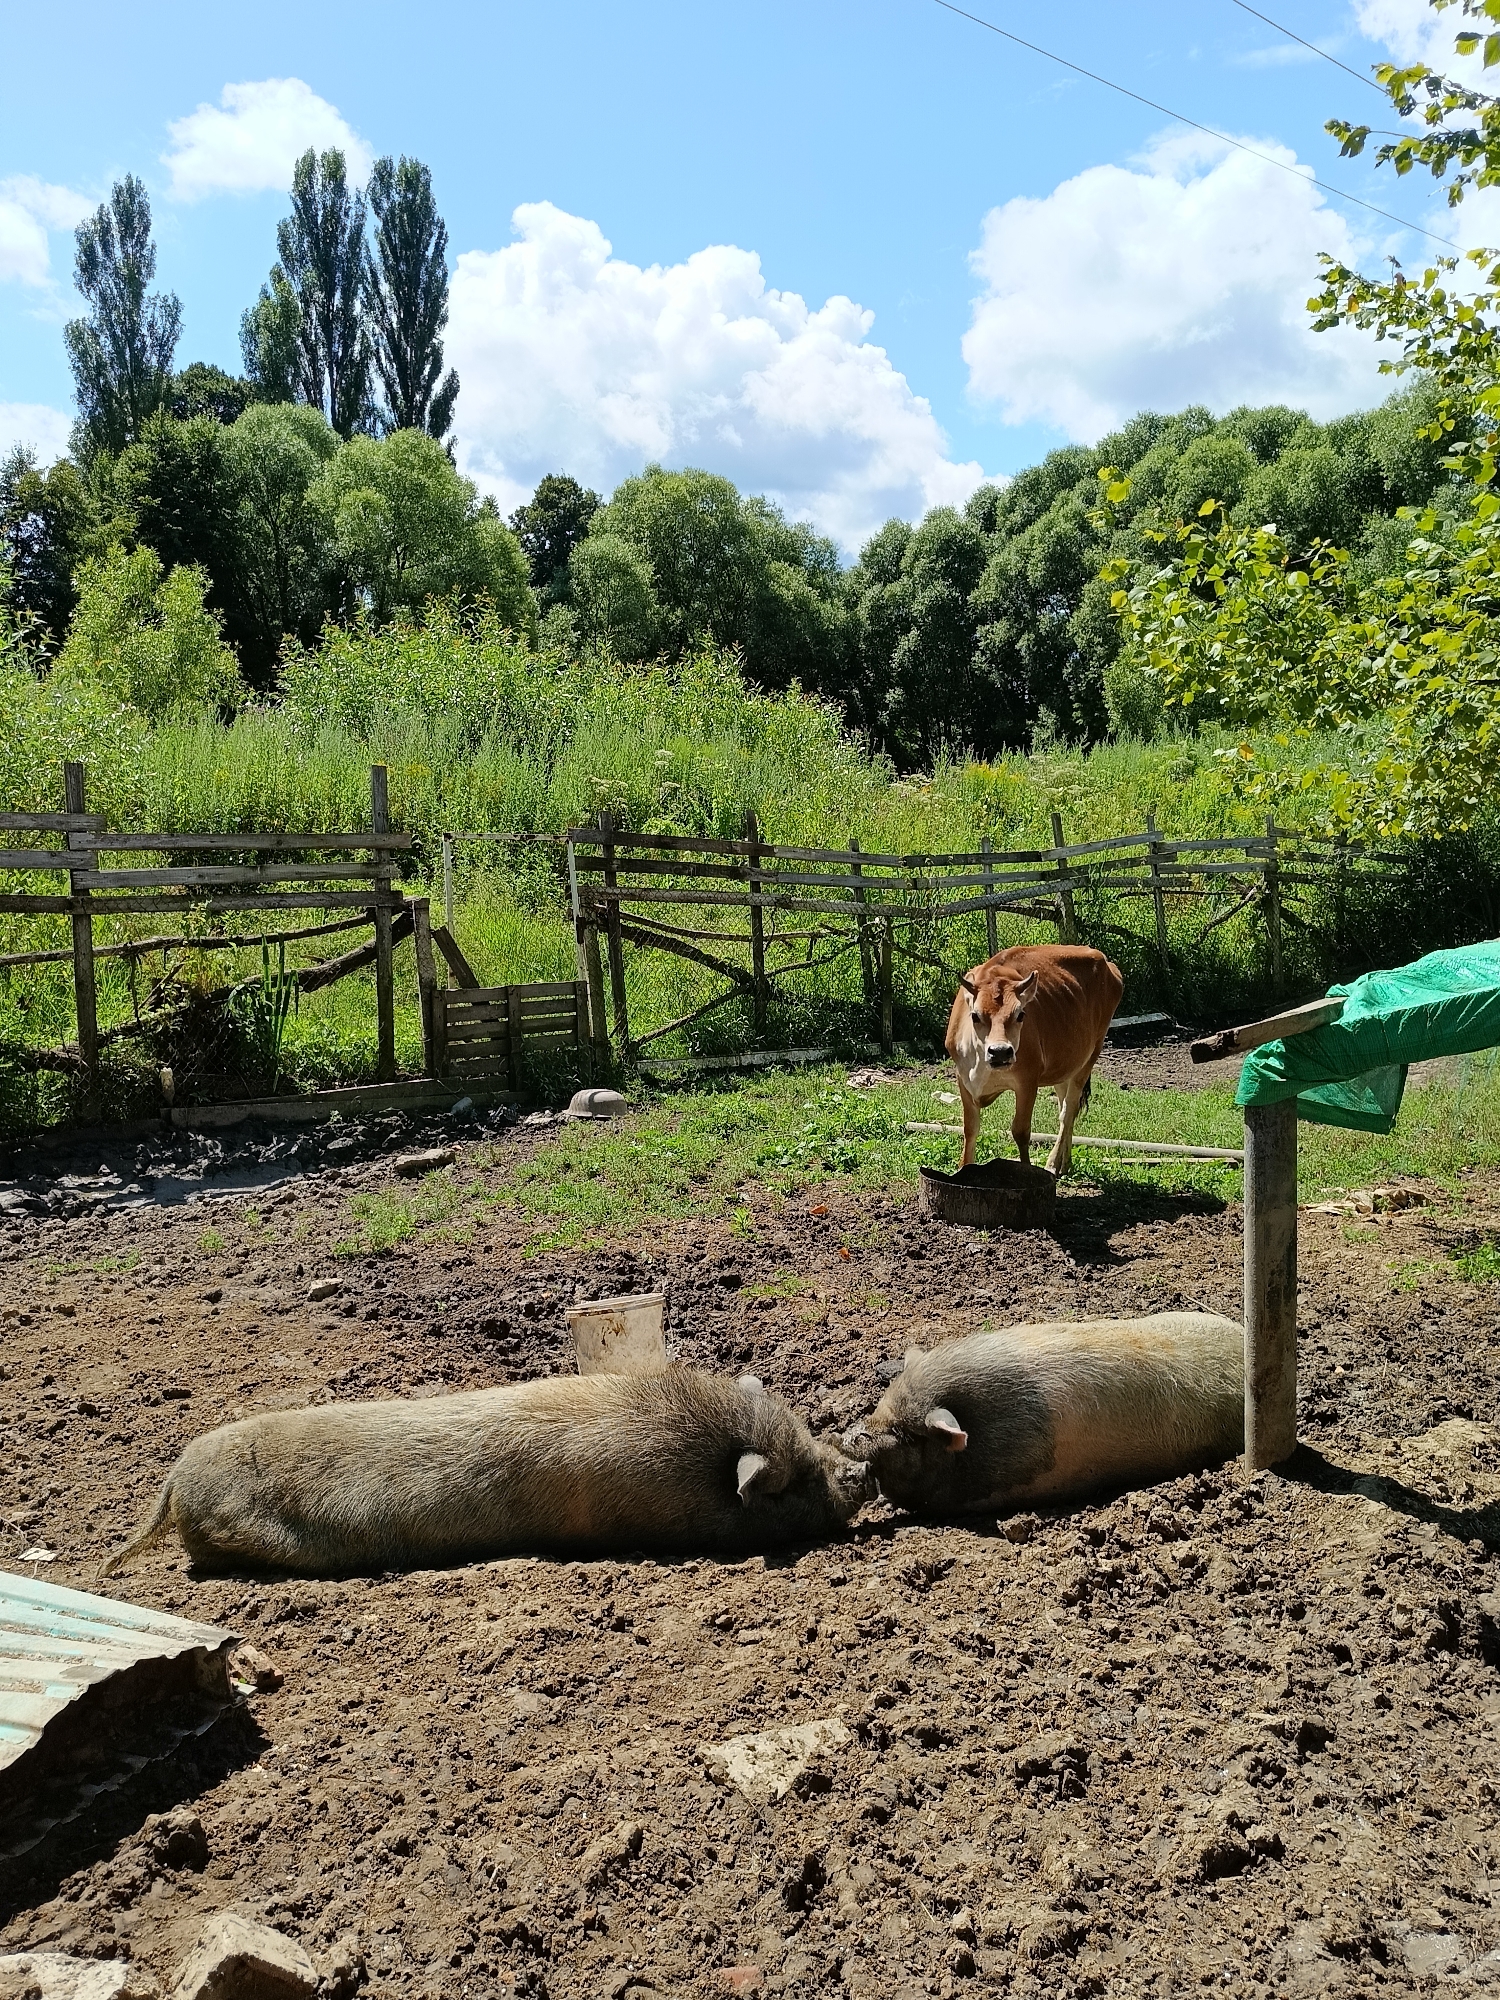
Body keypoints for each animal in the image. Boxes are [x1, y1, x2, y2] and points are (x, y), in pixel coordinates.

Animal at [945, 943, 1123, 1175]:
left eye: (1020, 1014)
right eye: (975, 1015)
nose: (1000, 1051)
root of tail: (1106, 962)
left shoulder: (1028, 1081)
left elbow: (1020, 1131)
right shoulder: (963, 1079)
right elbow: (970, 1128)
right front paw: (963, 1168)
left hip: (1090, 1056)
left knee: (1068, 1110)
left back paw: (1052, 1163)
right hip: (1064, 1065)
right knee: (1066, 1107)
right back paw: (1064, 1163)